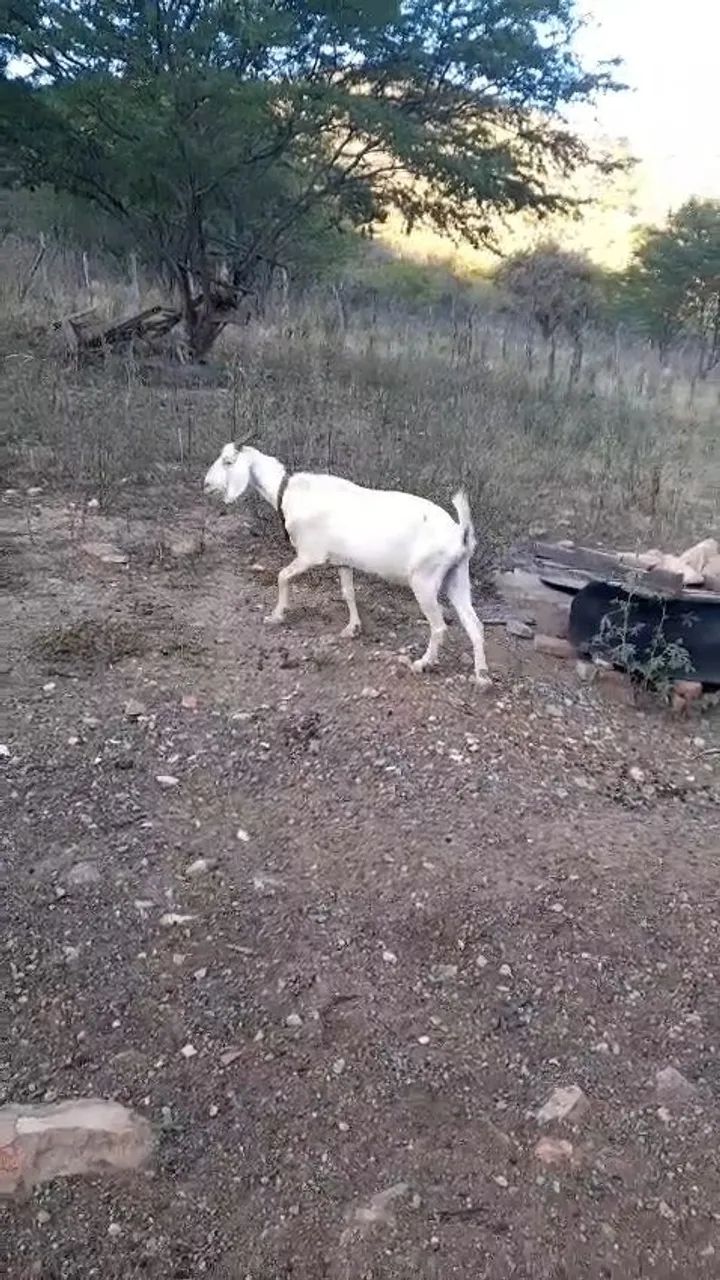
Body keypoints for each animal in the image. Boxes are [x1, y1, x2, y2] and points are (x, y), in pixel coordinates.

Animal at [203, 443, 491, 687]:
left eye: (228, 462)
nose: (206, 485)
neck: (287, 492)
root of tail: (460, 534)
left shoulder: (310, 554)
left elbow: (282, 576)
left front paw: (276, 615)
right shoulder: (343, 561)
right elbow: (348, 593)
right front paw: (352, 628)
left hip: (425, 578)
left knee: (439, 626)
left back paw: (423, 663)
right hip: (457, 576)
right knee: (475, 624)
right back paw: (482, 676)